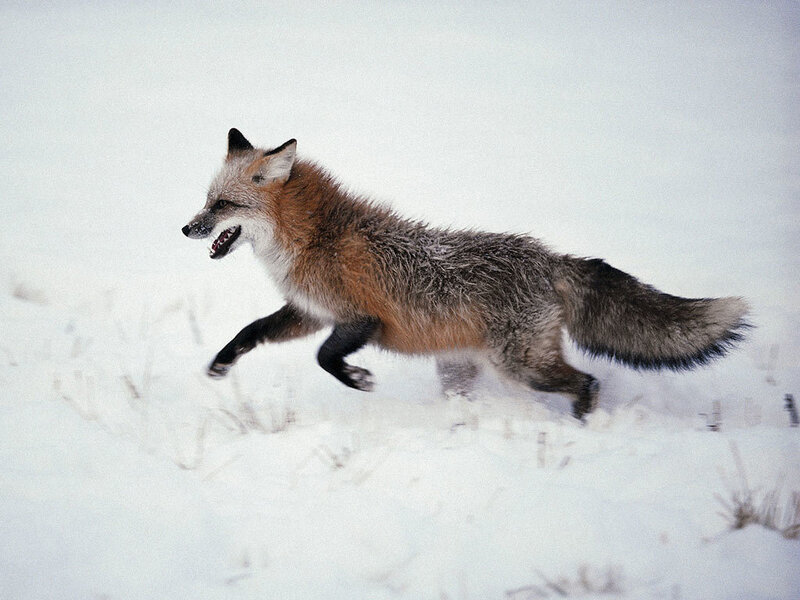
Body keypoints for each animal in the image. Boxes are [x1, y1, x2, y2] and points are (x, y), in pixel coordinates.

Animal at [182, 129, 749, 420]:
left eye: (223, 205)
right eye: (207, 200)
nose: (186, 227)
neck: (317, 238)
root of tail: (549, 258)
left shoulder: (360, 319)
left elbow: (326, 359)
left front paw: (360, 380)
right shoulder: (310, 312)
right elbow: (249, 332)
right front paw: (218, 368)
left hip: (519, 365)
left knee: (586, 380)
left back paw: (581, 422)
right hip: (463, 370)